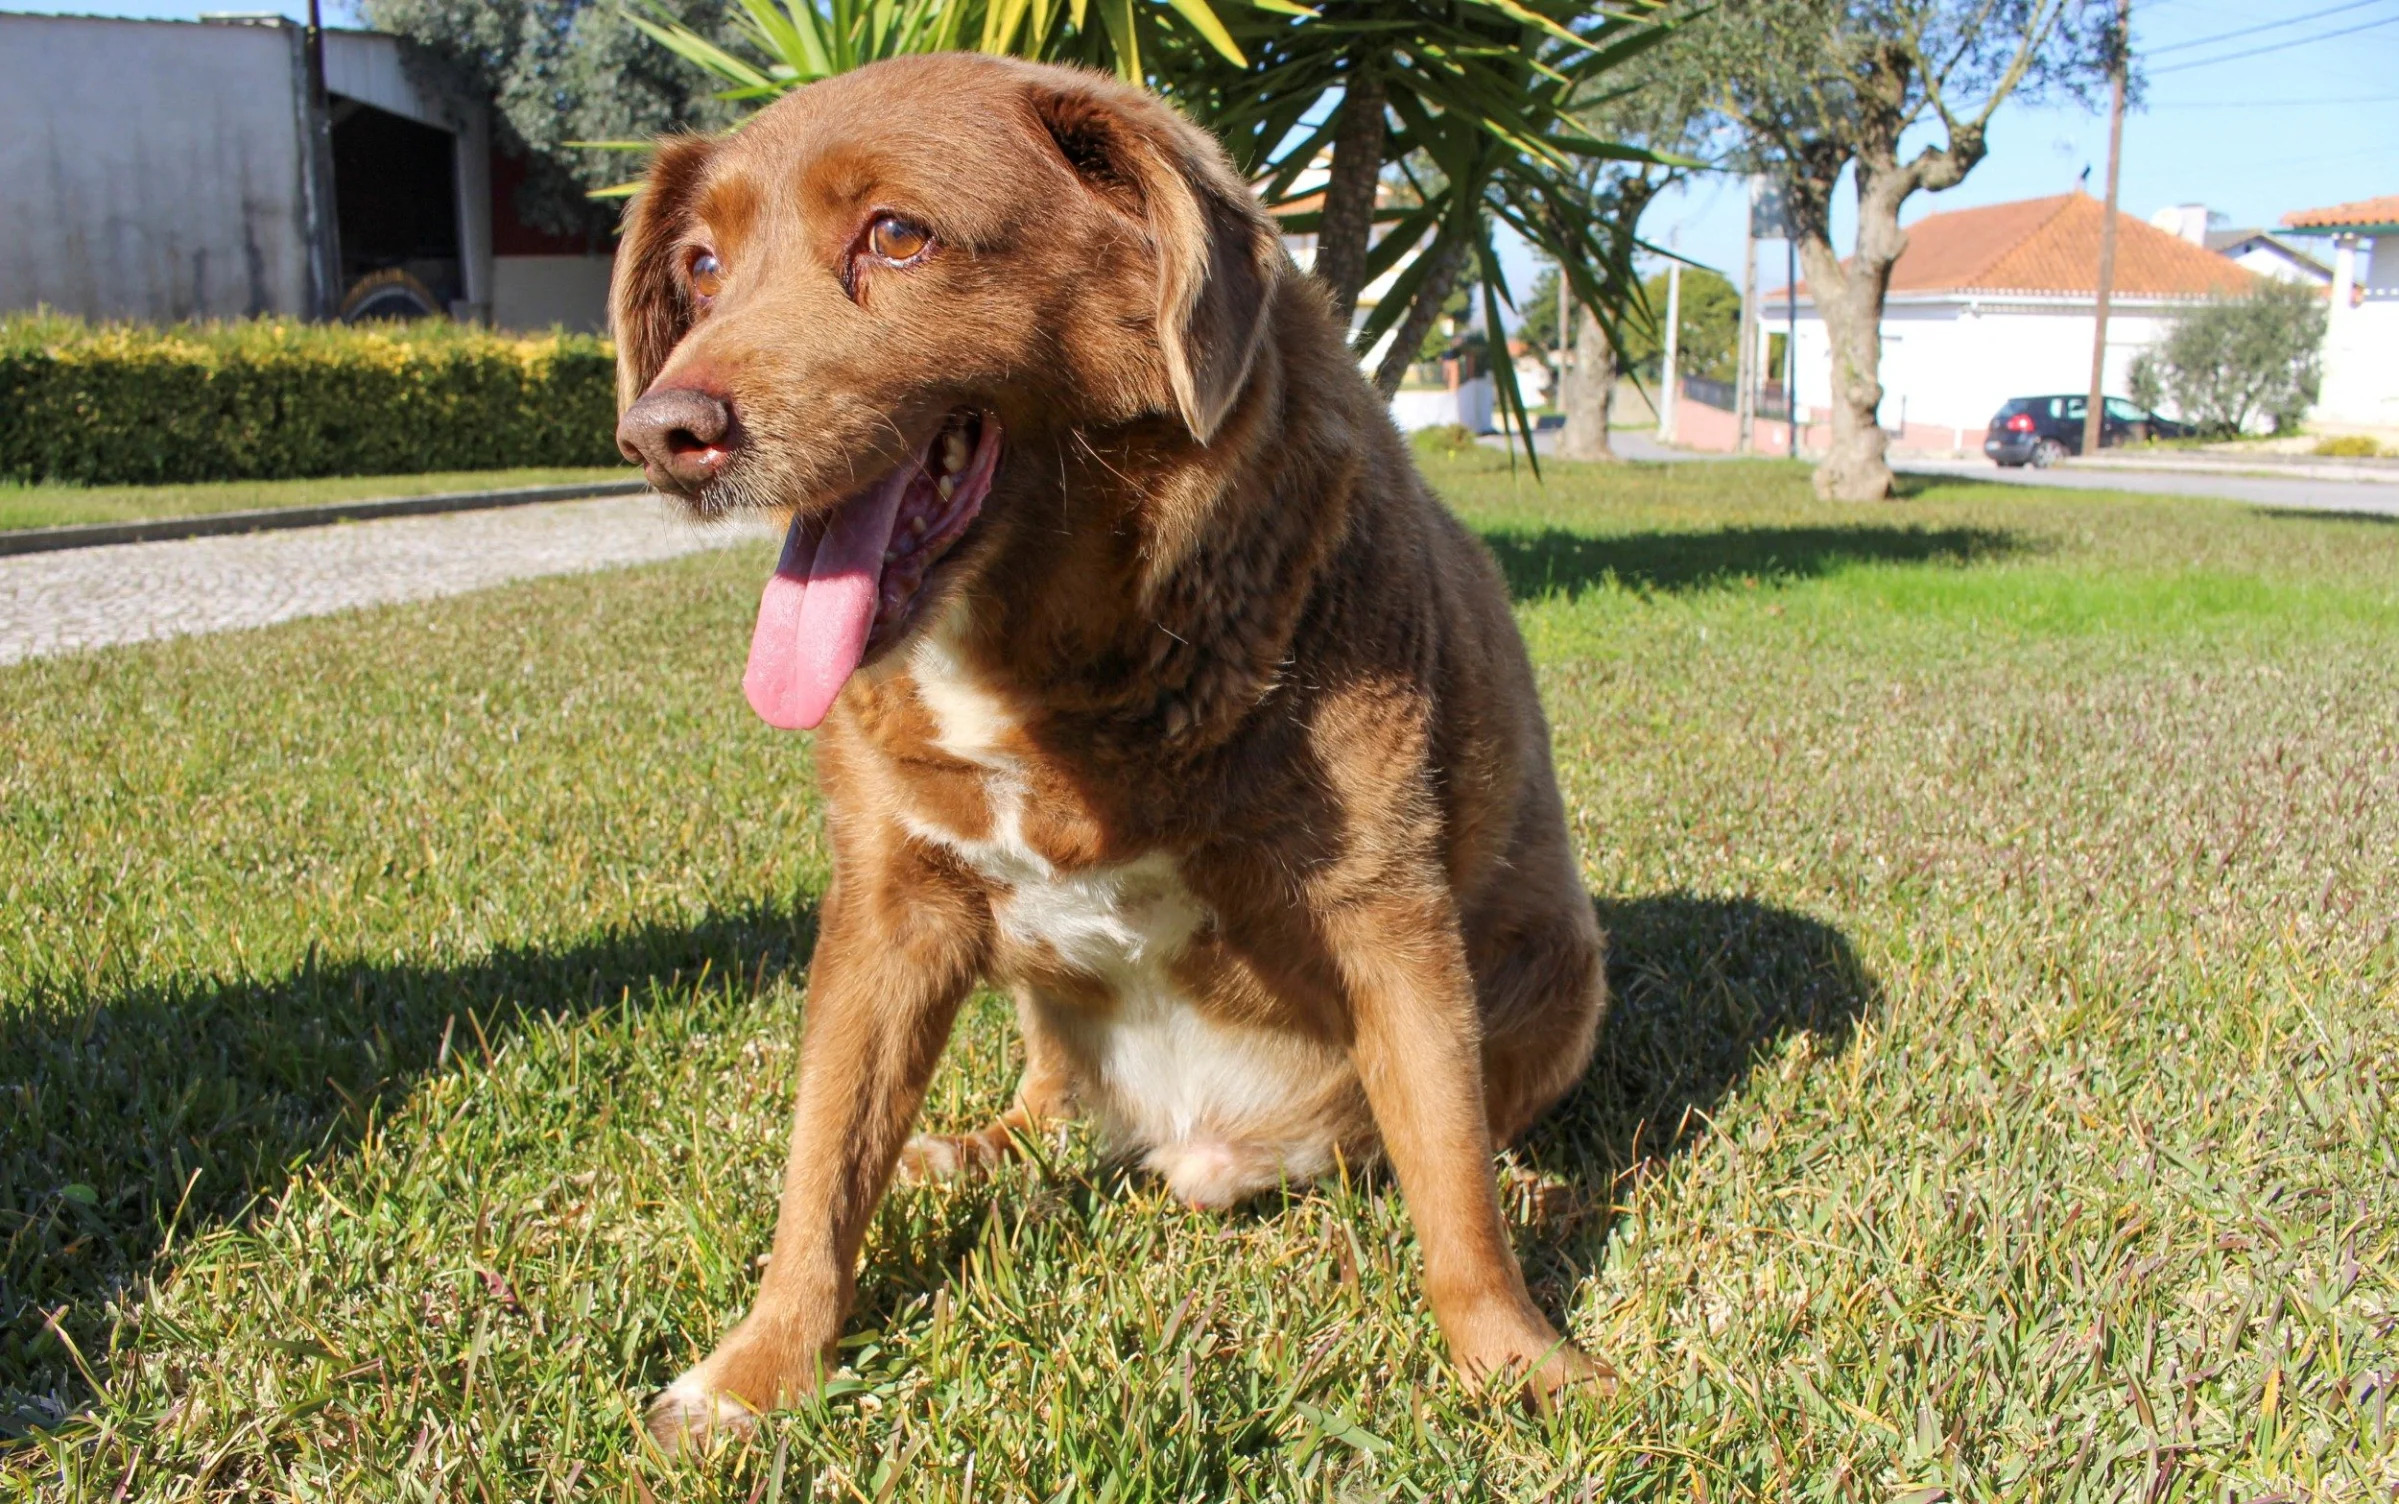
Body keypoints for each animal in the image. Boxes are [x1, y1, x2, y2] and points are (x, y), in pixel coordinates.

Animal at [609, 53, 1612, 1448]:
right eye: (701, 267)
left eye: (896, 236)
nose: (661, 434)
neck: (1042, 658)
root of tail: (1195, 1138)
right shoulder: (887, 909)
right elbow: (820, 1166)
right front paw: (759, 1368)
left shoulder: (1387, 911)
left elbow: (1451, 1186)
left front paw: (1520, 1362)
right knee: (1038, 1107)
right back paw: (966, 1148)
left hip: (1565, 976)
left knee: (1442, 1134)